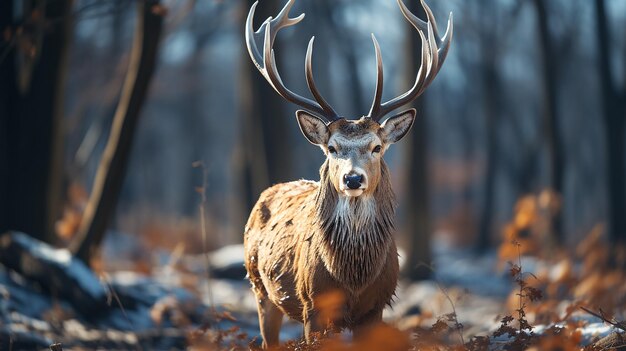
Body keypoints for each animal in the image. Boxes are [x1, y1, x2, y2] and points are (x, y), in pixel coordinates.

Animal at [241, 0, 450, 348]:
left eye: (377, 147)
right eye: (332, 147)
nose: (353, 179)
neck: (353, 278)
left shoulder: (377, 305)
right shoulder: (313, 305)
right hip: (259, 286)